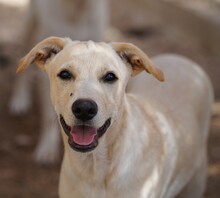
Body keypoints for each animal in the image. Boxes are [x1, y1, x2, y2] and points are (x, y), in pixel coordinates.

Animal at [9, 0, 109, 164]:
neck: (77, 8)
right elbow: (49, 116)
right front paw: (48, 148)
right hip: (30, 25)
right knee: (21, 60)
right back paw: (20, 99)